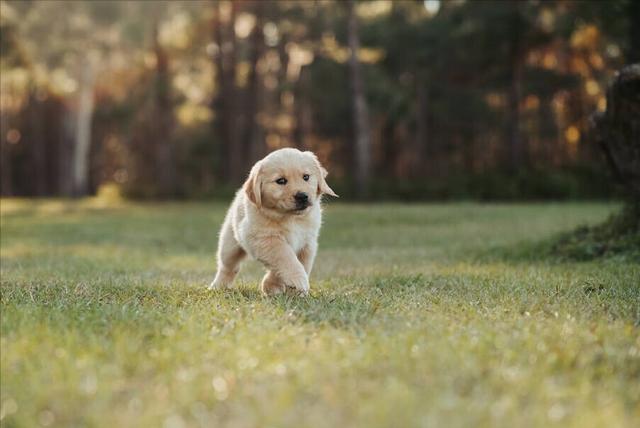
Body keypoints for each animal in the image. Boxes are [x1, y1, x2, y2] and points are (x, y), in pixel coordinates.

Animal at [210, 150, 340, 294]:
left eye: (306, 177)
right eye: (281, 181)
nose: (302, 196)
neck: (291, 218)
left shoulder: (307, 244)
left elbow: (301, 263)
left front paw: (275, 286)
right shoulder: (263, 239)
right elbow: (284, 255)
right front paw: (297, 279)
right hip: (229, 246)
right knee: (228, 267)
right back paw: (217, 286)